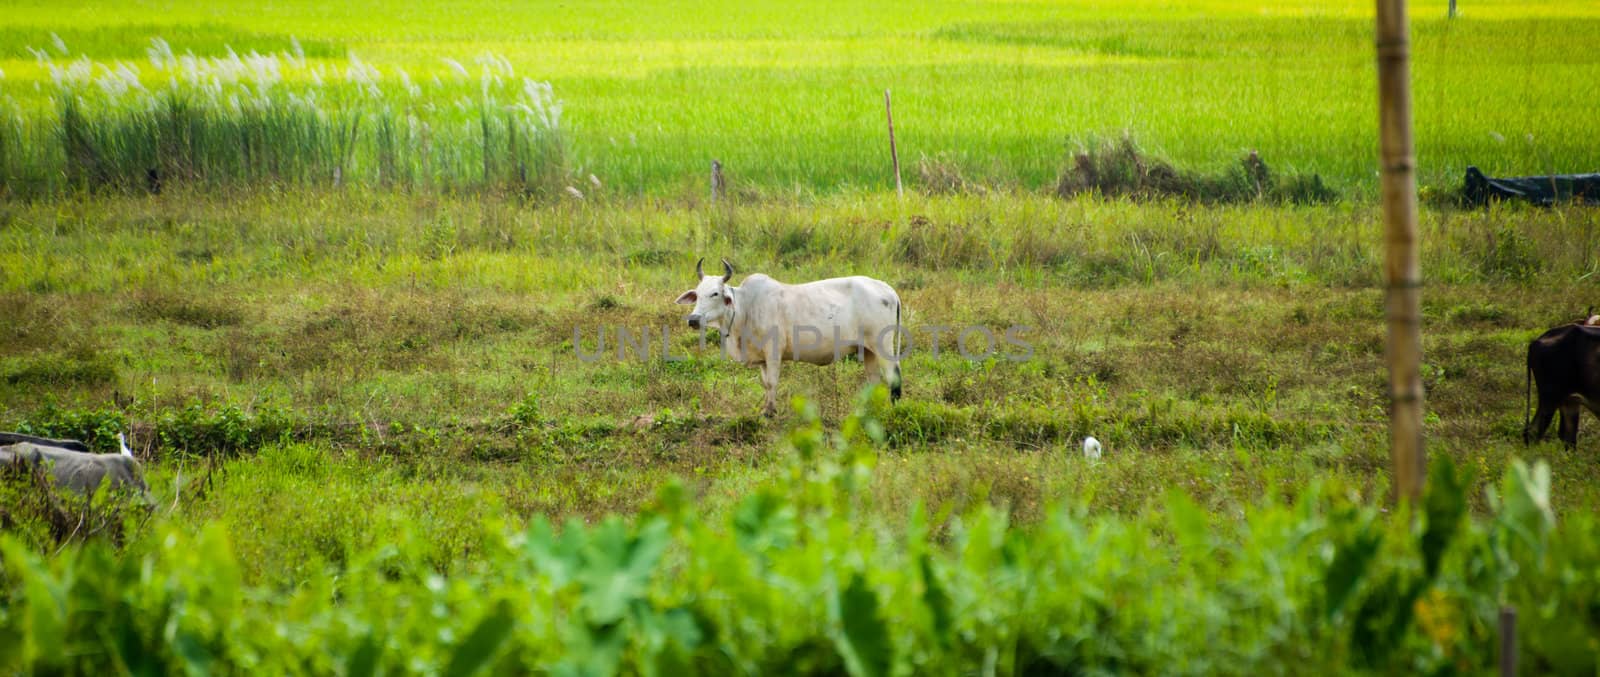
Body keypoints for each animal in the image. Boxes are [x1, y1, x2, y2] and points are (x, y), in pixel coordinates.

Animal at [675, 259, 902, 416]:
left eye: (715, 293)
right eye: (697, 293)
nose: (693, 320)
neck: (746, 307)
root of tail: (888, 290)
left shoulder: (773, 352)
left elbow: (772, 382)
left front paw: (770, 413)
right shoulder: (761, 359)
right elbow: (765, 383)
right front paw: (767, 409)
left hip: (883, 345)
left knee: (893, 377)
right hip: (867, 350)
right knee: (874, 381)